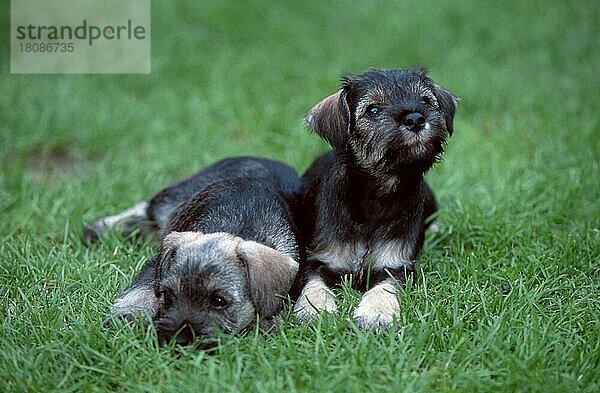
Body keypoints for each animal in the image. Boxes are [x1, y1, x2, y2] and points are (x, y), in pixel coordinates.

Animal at [86, 157, 302, 346]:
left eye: (219, 301)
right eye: (168, 295)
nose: (178, 341)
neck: (238, 228)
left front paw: (264, 327)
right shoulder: (155, 266)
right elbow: (141, 290)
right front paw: (127, 317)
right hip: (174, 197)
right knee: (147, 210)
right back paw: (99, 229)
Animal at [292, 68, 458, 330]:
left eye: (425, 100)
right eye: (373, 110)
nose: (415, 118)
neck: (375, 195)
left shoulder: (395, 265)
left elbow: (383, 288)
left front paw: (376, 314)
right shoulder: (319, 260)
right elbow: (314, 284)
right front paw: (314, 309)